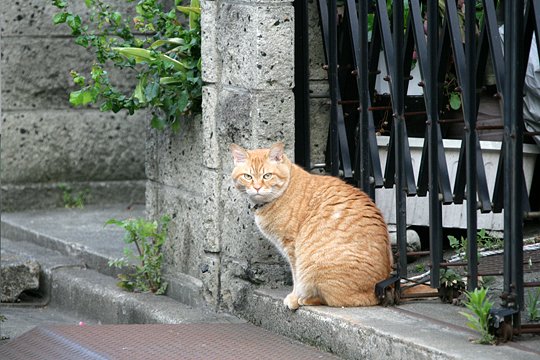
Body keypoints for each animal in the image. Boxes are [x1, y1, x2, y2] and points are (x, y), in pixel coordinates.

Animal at [229, 141, 392, 310]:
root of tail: (377, 293)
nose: (257, 187)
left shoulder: (292, 248)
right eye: (247, 176)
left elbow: (296, 278)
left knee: (336, 300)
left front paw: (294, 298)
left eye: (267, 175)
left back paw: (305, 299)